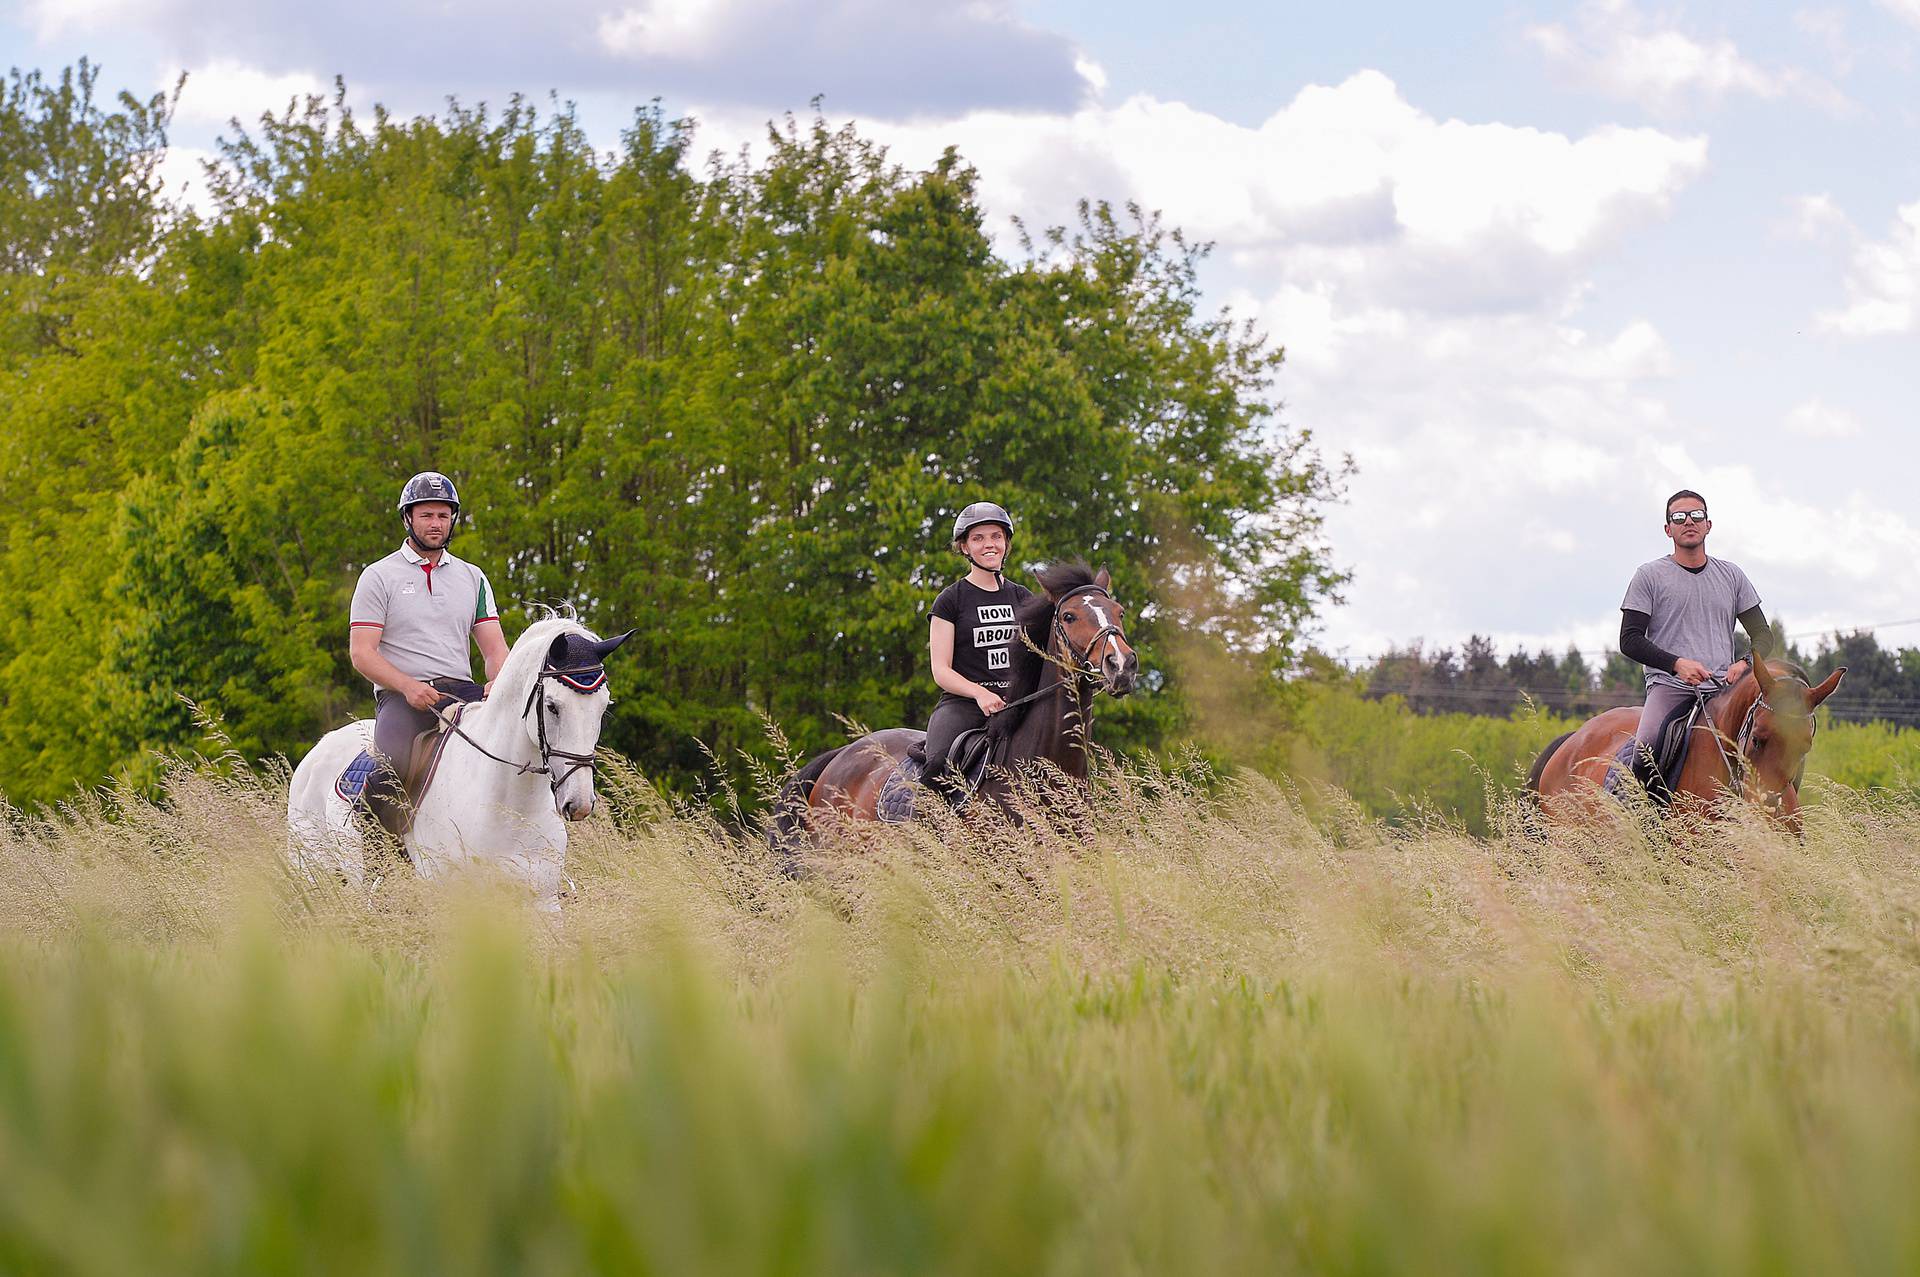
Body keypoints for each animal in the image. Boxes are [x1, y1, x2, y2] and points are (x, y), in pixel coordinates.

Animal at [288, 614, 629, 906]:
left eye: (603, 707)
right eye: (552, 706)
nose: (579, 803)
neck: (509, 805)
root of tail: (322, 745)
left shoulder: (541, 902)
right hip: (316, 873)